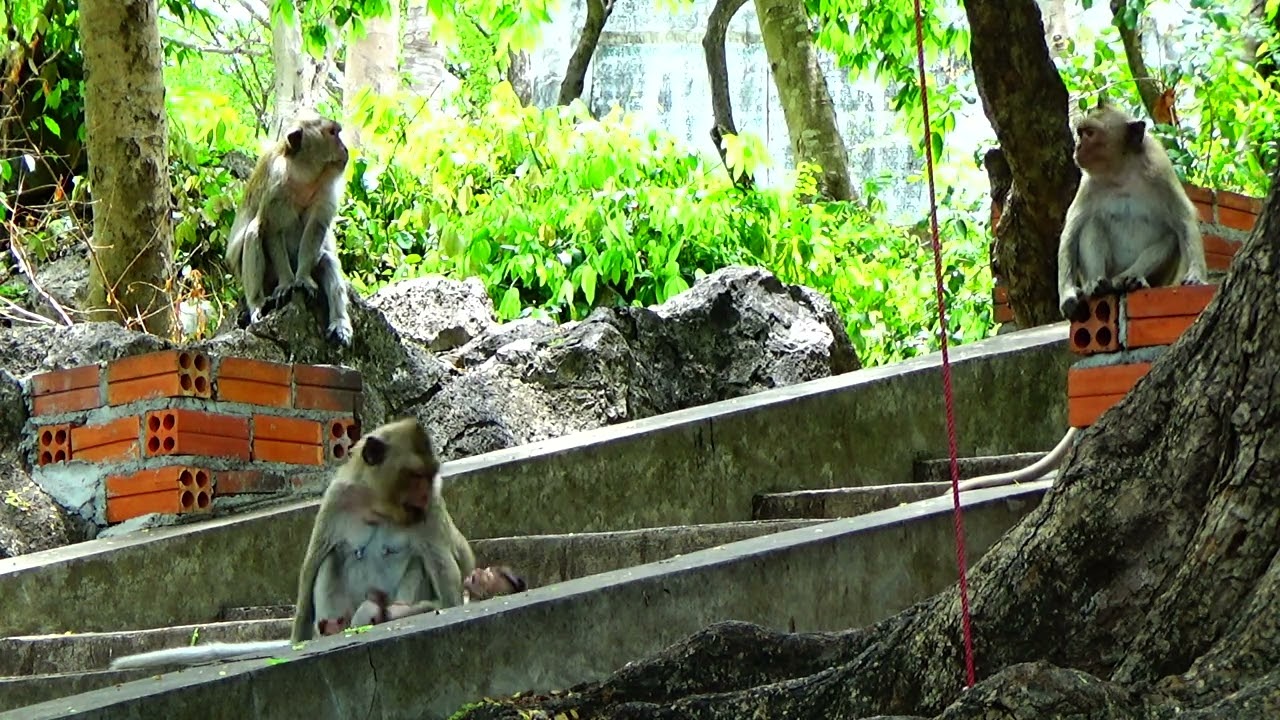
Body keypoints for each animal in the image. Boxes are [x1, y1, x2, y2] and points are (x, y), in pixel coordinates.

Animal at [109, 418, 472, 670]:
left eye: (430, 476)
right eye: (415, 476)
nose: (423, 494)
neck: (377, 504)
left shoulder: (429, 512)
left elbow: (448, 567)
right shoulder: (336, 499)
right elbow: (313, 563)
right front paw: (298, 641)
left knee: (420, 562)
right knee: (330, 561)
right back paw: (334, 628)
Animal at [223, 114, 355, 346]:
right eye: (333, 133)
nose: (345, 148)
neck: (305, 176)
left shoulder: (326, 188)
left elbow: (315, 230)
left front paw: (302, 279)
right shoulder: (276, 183)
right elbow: (271, 230)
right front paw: (287, 283)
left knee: (327, 260)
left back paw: (340, 323)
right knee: (254, 231)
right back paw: (257, 303)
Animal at [1057, 103, 1208, 321]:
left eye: (1089, 133)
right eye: (1080, 133)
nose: (1077, 147)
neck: (1122, 172)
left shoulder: (1160, 172)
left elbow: (1184, 220)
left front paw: (1197, 275)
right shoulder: (1088, 185)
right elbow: (1071, 233)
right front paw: (1068, 295)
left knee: (1171, 236)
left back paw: (1129, 279)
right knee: (1092, 224)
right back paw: (1097, 284)